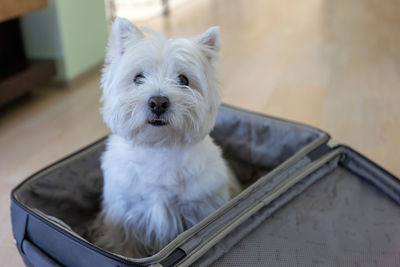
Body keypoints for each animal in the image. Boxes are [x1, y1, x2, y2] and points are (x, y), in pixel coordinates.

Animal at [94, 17, 239, 260]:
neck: (158, 148)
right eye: (138, 78)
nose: (158, 102)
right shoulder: (124, 217)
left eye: (183, 80)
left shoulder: (202, 206)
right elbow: (125, 247)